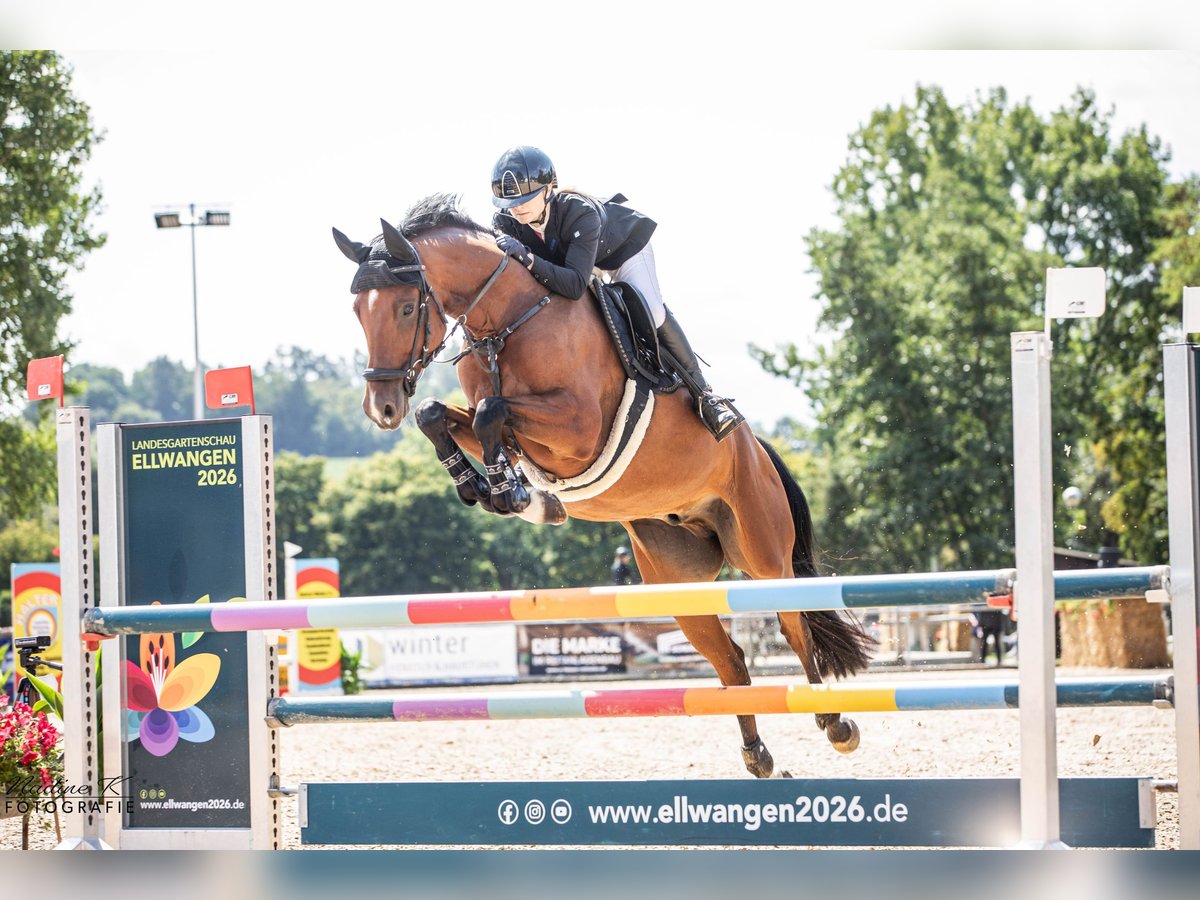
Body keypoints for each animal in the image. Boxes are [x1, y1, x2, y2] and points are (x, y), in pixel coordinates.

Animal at [333, 193, 874, 777]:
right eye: (358, 312)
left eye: (406, 309)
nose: (382, 408)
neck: (507, 321)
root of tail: (757, 448)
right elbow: (442, 413)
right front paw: (496, 490)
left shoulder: (578, 428)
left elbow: (491, 411)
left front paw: (514, 493)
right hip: (677, 580)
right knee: (731, 659)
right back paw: (758, 755)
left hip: (762, 550)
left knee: (795, 627)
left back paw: (834, 723)